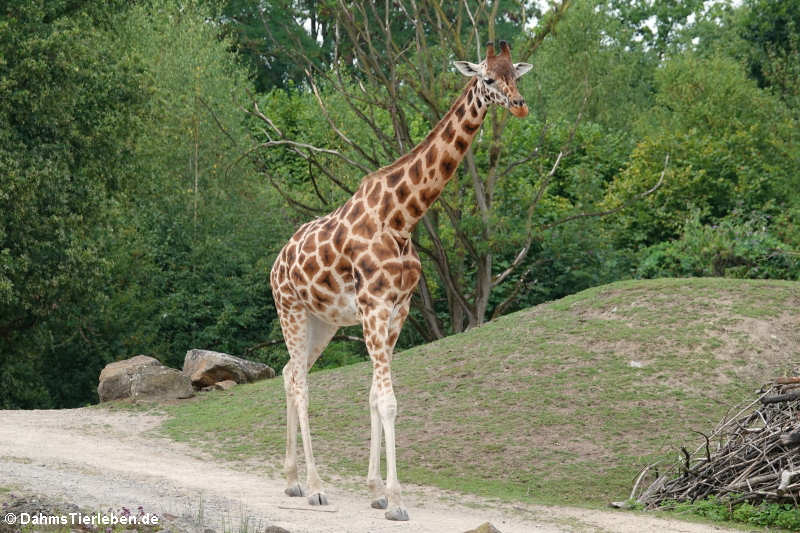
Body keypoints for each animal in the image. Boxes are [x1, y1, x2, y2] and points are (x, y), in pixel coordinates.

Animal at [268, 40, 532, 520]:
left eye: (515, 75)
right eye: (487, 77)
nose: (519, 105)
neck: (403, 218)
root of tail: (276, 263)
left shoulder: (397, 310)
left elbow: (376, 396)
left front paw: (377, 491)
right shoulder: (374, 306)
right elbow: (388, 400)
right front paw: (397, 502)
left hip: (323, 322)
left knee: (287, 372)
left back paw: (292, 480)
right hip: (290, 309)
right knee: (300, 383)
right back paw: (315, 486)